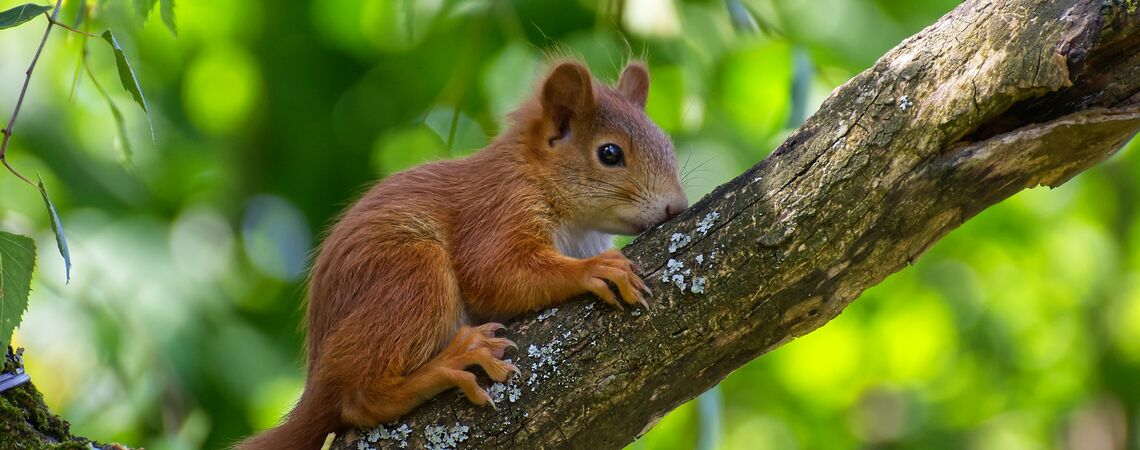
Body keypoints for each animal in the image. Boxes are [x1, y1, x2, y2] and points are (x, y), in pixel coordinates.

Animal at [235, 60, 688, 450]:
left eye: (667, 142)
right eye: (610, 154)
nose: (677, 207)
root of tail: (317, 377)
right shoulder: (498, 208)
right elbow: (494, 274)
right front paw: (595, 268)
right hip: (413, 275)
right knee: (359, 400)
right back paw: (451, 364)